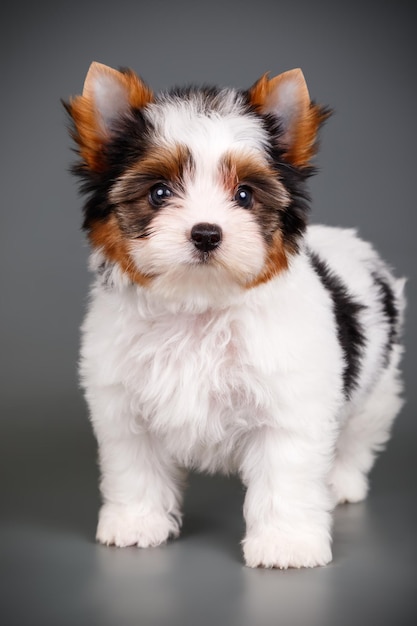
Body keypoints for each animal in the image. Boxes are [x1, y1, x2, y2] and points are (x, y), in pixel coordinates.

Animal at [64, 62, 404, 564]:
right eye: (159, 192)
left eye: (244, 195)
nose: (206, 233)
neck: (198, 306)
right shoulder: (123, 403)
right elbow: (135, 463)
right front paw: (136, 522)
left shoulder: (289, 403)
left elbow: (286, 472)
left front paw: (286, 543)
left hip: (378, 384)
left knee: (359, 433)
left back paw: (341, 482)